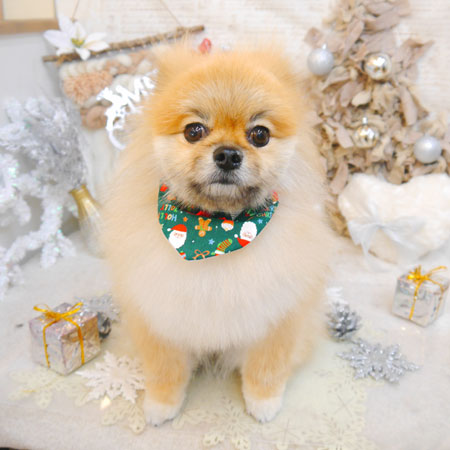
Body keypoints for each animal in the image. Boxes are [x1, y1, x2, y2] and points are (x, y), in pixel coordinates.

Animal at [101, 44, 334, 425]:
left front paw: (263, 402)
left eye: (260, 134)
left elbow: (266, 367)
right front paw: (161, 405)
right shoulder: (159, 312)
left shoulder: (278, 313)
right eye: (194, 131)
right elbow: (165, 369)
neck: (215, 232)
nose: (227, 154)